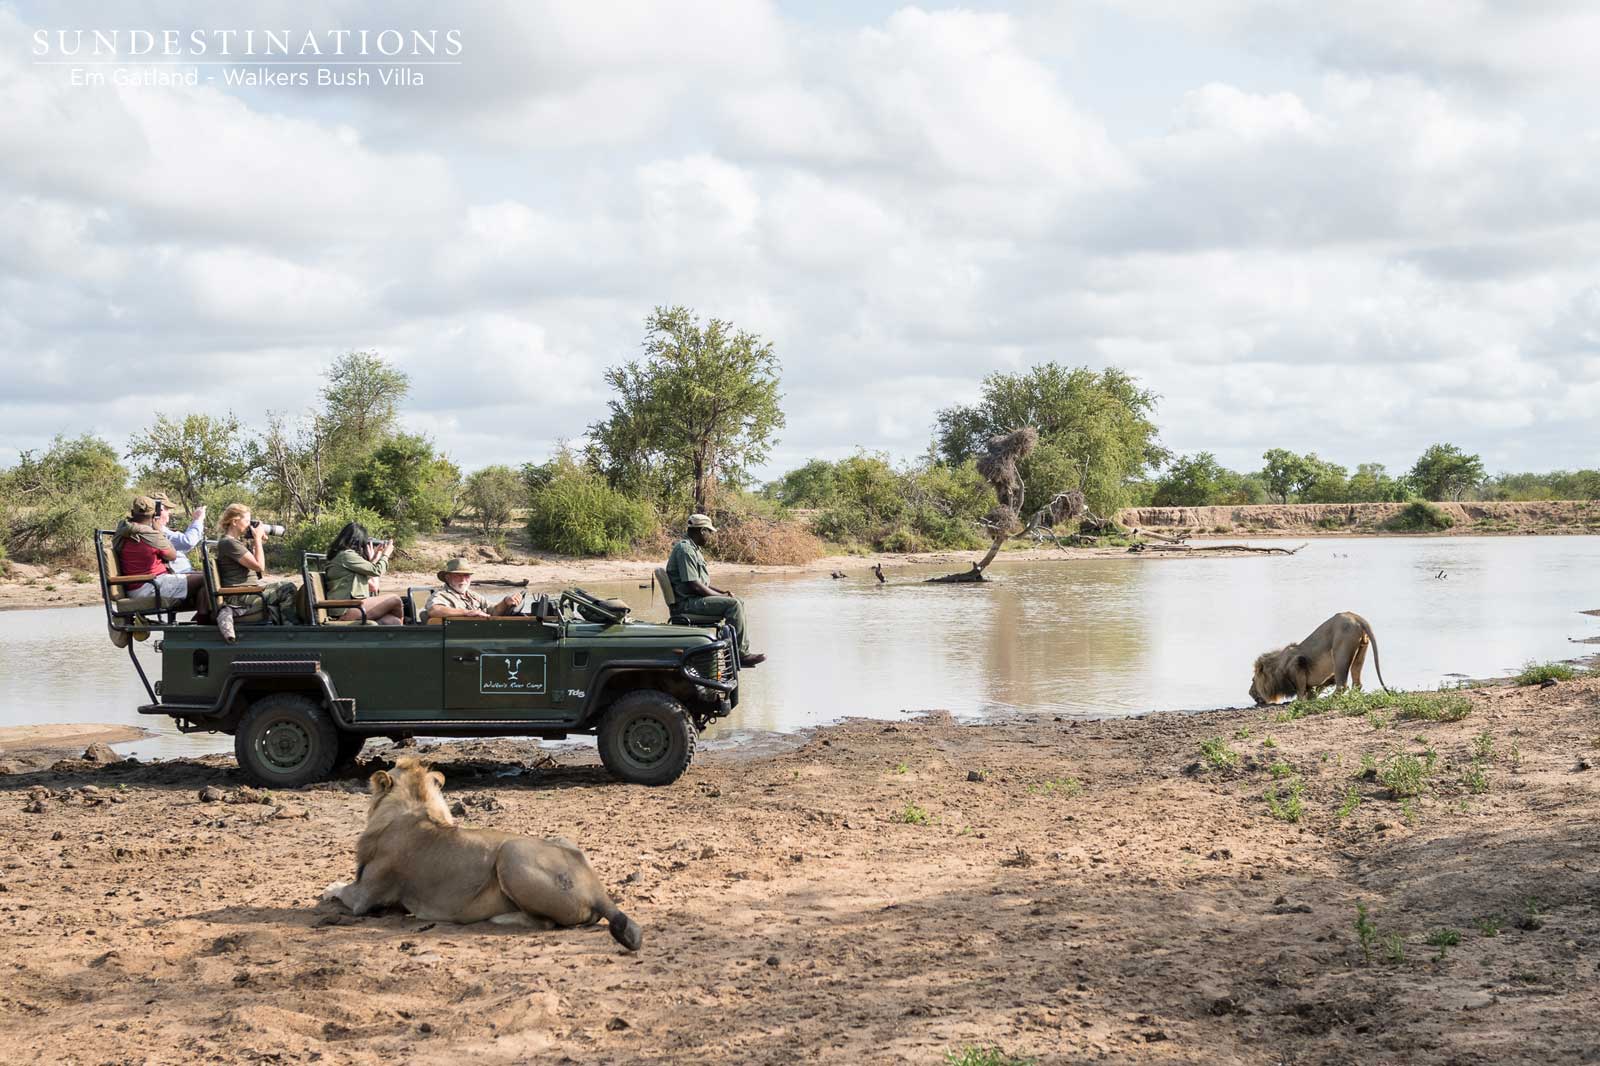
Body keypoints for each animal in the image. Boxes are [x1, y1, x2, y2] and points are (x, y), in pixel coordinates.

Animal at [320, 757, 641, 951]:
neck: (416, 805)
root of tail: (599, 892)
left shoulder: (365, 898)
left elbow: (339, 890)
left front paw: (328, 888)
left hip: (511, 852)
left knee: (547, 923)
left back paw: (501, 919)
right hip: (559, 840)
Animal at [1249, 611, 1390, 705]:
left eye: (1253, 680)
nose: (1250, 693)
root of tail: (1357, 617)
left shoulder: (1297, 664)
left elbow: (1300, 689)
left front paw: (1299, 702)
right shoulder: (1324, 678)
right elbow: (1316, 688)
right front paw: (1311, 698)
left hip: (1340, 653)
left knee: (1342, 686)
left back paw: (1330, 699)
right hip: (1360, 652)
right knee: (1357, 683)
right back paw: (1352, 698)